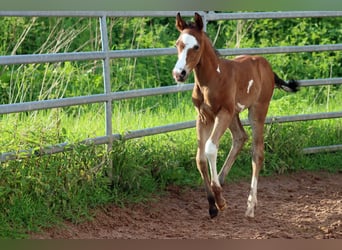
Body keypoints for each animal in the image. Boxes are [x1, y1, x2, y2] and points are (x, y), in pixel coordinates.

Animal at [172, 12, 298, 218]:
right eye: (178, 44)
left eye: (196, 46)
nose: (179, 73)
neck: (213, 78)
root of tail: (268, 67)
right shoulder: (204, 116)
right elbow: (200, 157)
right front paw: (213, 204)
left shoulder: (223, 113)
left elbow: (210, 148)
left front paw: (220, 201)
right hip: (234, 114)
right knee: (240, 137)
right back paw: (221, 183)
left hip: (256, 110)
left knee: (257, 152)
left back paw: (250, 205)